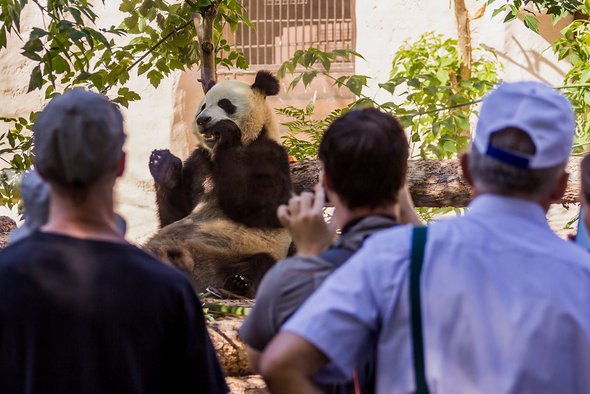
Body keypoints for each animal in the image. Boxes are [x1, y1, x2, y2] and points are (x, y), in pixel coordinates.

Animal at [143, 71, 292, 298]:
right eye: (203, 105)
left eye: (225, 103)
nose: (203, 120)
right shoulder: (199, 162)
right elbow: (175, 215)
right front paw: (164, 166)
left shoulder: (269, 154)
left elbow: (262, 207)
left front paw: (227, 133)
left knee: (262, 264)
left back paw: (238, 283)